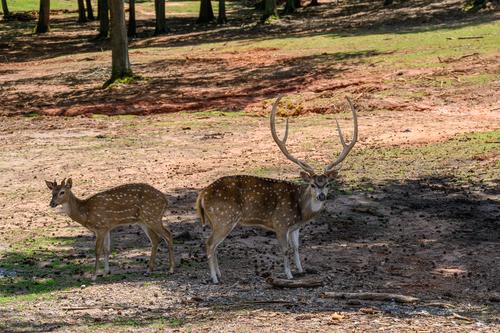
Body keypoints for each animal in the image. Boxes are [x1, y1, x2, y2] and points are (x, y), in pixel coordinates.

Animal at [44, 178, 176, 278]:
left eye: (62, 192)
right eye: (52, 192)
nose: (52, 203)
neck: (86, 213)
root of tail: (165, 200)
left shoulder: (100, 227)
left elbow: (97, 251)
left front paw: (94, 275)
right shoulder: (107, 227)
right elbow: (107, 250)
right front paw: (105, 272)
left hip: (153, 217)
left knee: (168, 235)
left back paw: (171, 269)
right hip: (144, 221)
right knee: (155, 239)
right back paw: (148, 270)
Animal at [196, 94, 360, 282]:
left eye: (326, 184)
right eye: (312, 184)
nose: (321, 196)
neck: (300, 210)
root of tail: (202, 194)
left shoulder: (295, 227)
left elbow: (296, 247)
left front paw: (301, 270)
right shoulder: (280, 222)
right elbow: (285, 249)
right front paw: (289, 275)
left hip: (216, 220)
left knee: (214, 245)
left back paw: (220, 274)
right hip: (224, 217)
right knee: (209, 243)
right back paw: (214, 278)